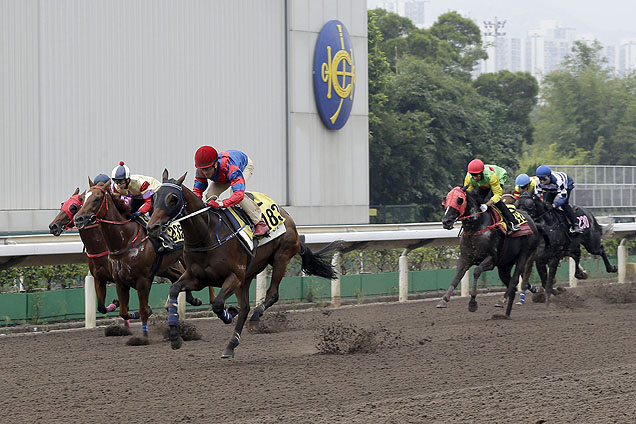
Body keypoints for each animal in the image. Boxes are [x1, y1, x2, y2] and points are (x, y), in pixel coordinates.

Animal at [73, 179, 205, 338]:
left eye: (97, 199)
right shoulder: (118, 281)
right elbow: (122, 312)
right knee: (178, 277)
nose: (78, 218)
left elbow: (143, 311)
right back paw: (191, 300)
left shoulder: (143, 279)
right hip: (166, 268)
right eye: (82, 199)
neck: (125, 240)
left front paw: (145, 335)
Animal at [147, 169, 340, 358]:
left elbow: (218, 304)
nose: (152, 227)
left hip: (281, 258)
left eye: (173, 198)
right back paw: (231, 345)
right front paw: (174, 336)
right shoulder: (198, 278)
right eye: (154, 197)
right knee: (246, 307)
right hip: (248, 275)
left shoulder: (235, 276)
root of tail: (288, 217)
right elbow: (174, 290)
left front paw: (229, 313)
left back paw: (255, 318)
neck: (206, 234)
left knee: (271, 294)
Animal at [438, 187, 536, 316]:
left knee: (514, 280)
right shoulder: (465, 258)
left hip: (523, 255)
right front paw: (444, 299)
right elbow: (458, 275)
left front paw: (472, 303)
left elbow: (476, 272)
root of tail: (531, 219)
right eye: (446, 199)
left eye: (459, 200)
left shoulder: (491, 260)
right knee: (511, 284)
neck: (476, 227)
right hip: (504, 265)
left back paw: (502, 300)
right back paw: (506, 313)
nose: (446, 221)